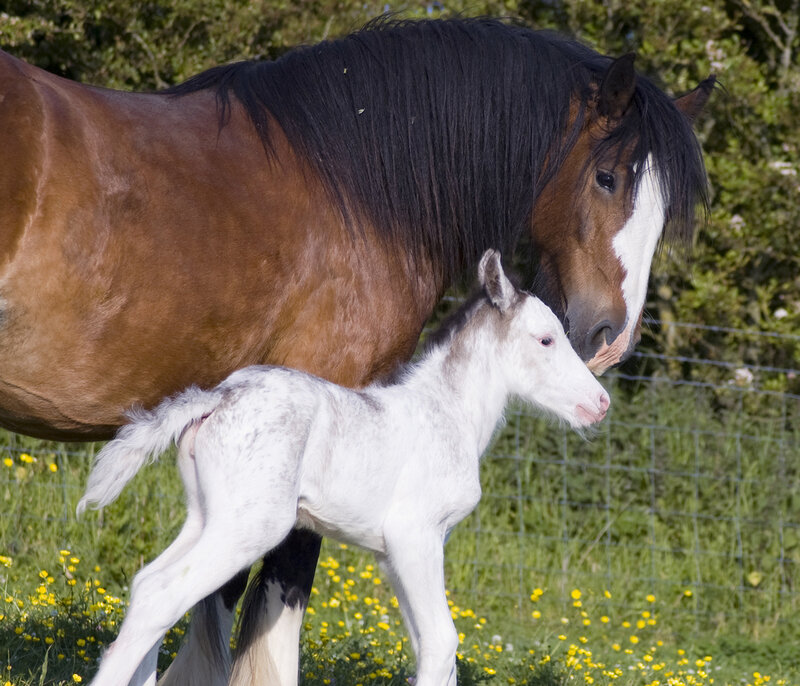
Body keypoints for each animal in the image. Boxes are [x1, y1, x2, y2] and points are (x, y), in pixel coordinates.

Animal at [78, 250, 610, 686]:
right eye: (545, 340)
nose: (600, 403)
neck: (446, 411)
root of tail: (216, 398)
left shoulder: (396, 555)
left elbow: (429, 648)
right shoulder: (414, 536)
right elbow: (443, 643)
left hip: (207, 518)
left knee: (148, 586)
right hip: (250, 526)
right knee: (162, 594)